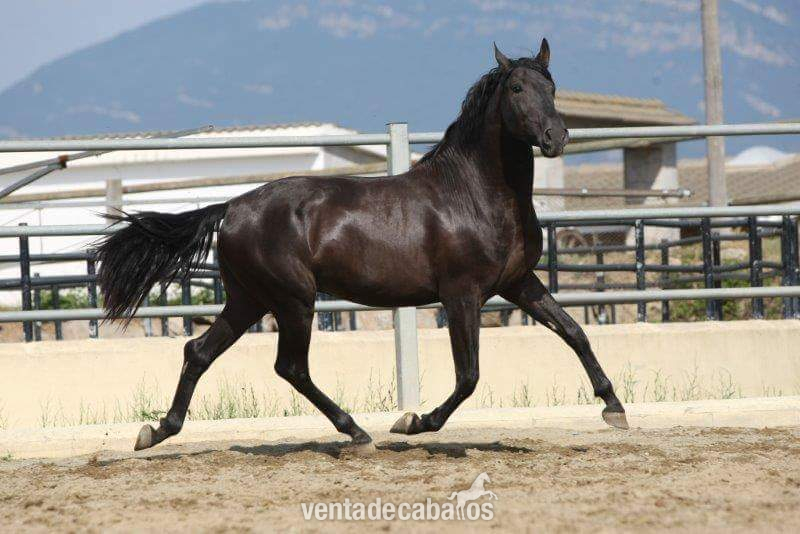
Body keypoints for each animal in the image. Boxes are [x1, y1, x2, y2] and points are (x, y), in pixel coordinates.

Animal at [96, 39, 628, 455]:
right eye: (517, 89)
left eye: (552, 88)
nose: (557, 137)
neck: (473, 194)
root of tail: (231, 207)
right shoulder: (462, 294)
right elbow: (469, 375)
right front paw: (413, 422)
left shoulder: (518, 282)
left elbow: (574, 332)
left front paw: (614, 408)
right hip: (293, 300)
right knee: (290, 366)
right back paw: (356, 433)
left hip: (249, 299)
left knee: (199, 352)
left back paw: (156, 432)